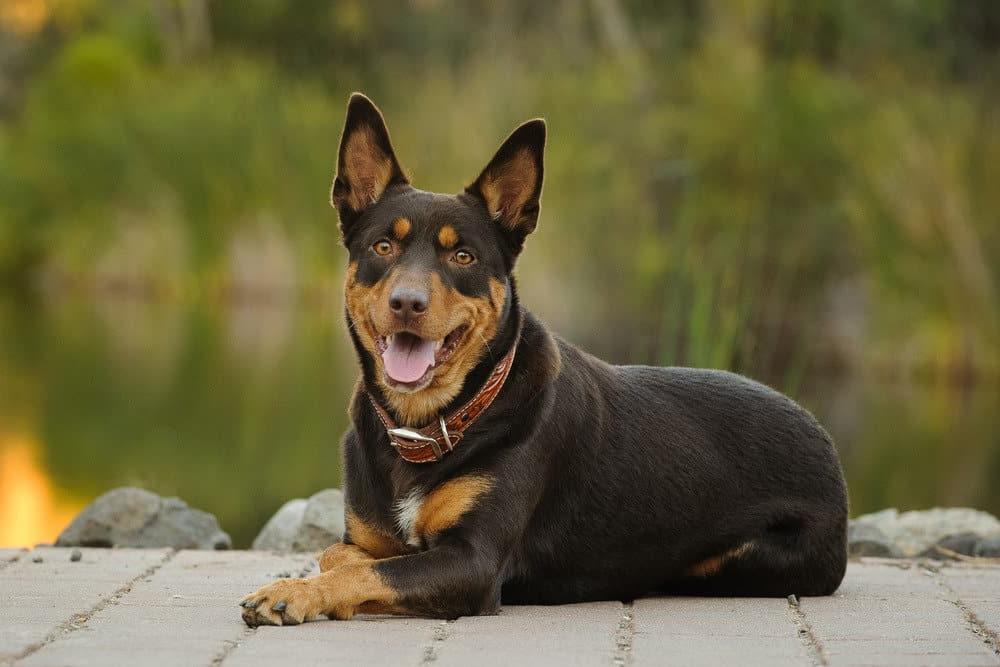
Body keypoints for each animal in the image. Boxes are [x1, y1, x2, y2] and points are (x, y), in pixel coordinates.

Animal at [238, 92, 848, 628]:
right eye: (382, 247)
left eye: (463, 256)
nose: (407, 303)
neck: (428, 428)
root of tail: (823, 439)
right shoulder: (366, 537)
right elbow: (343, 556)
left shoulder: (473, 563)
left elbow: (368, 571)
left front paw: (291, 593)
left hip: (740, 559)